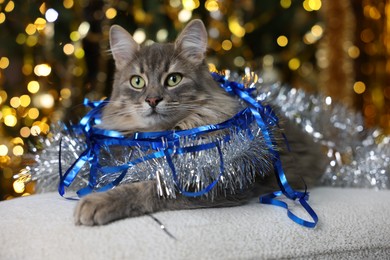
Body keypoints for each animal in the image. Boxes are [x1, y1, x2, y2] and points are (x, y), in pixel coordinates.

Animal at [74, 19, 326, 225]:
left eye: (173, 79)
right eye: (137, 82)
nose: (152, 100)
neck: (162, 135)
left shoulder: (213, 179)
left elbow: (148, 188)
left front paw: (97, 202)